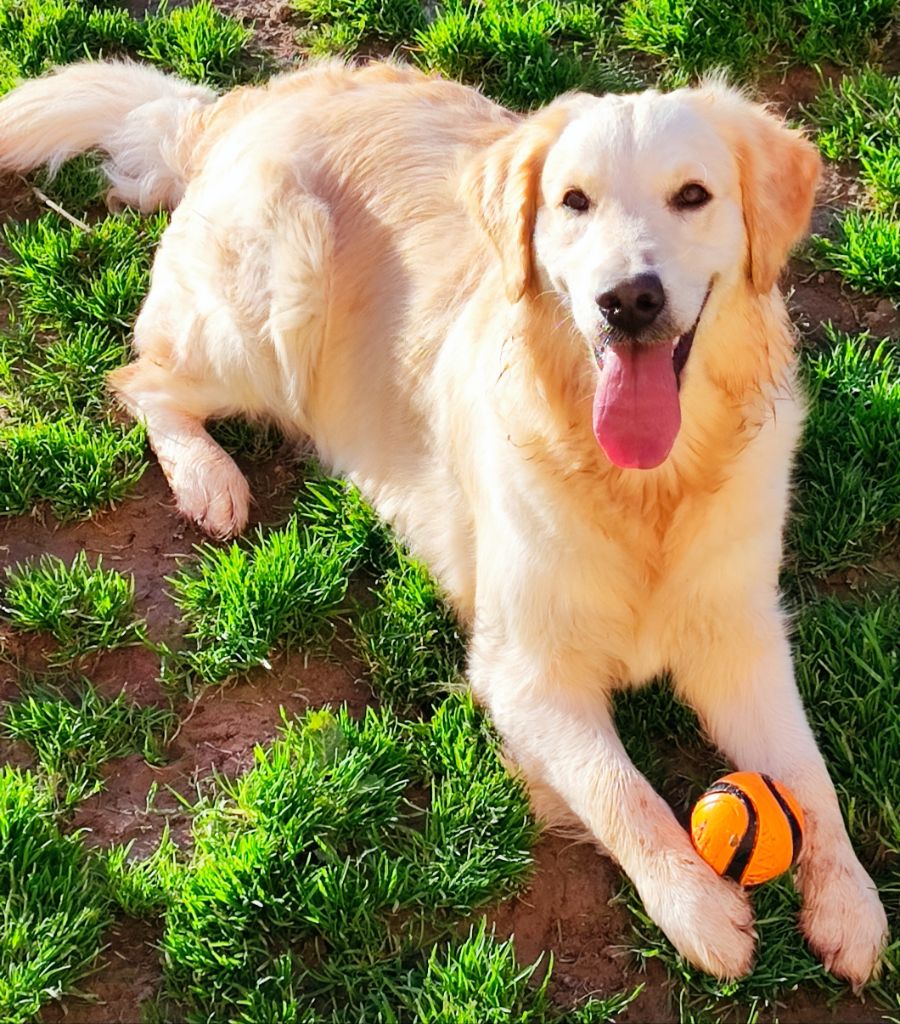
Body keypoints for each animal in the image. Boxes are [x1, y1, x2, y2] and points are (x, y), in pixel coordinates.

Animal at [0, 58, 888, 983]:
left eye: (693, 195)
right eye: (574, 201)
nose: (628, 300)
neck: (648, 490)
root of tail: (246, 105)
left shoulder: (741, 639)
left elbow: (810, 775)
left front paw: (851, 903)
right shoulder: (523, 670)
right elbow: (622, 792)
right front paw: (699, 909)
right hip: (271, 318)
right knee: (140, 378)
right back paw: (210, 478)